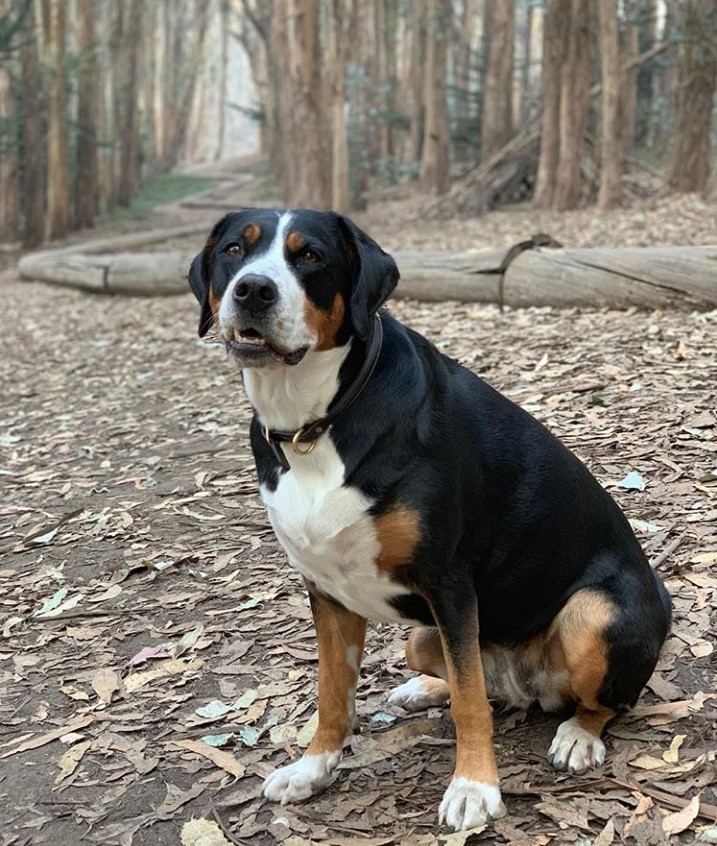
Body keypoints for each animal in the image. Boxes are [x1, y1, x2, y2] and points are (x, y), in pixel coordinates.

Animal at [186, 210, 672, 836]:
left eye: (311, 256)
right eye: (232, 250)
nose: (253, 290)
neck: (318, 422)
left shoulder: (449, 583)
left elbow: (469, 703)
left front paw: (473, 787)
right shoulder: (326, 591)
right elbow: (333, 691)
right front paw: (314, 767)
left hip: (594, 615)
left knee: (598, 700)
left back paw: (578, 736)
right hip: (420, 636)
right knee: (473, 680)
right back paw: (422, 687)